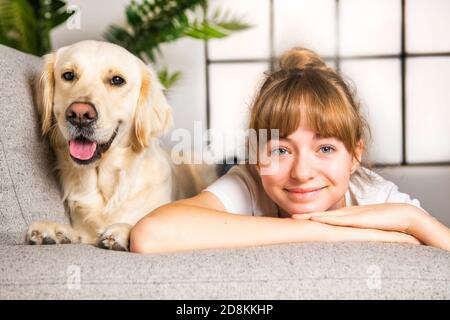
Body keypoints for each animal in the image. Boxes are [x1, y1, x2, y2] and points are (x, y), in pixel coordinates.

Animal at [26, 39, 218, 250]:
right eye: (68, 75)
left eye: (117, 80)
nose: (80, 114)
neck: (106, 186)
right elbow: (78, 234)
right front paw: (54, 230)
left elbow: (139, 223)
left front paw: (122, 230)